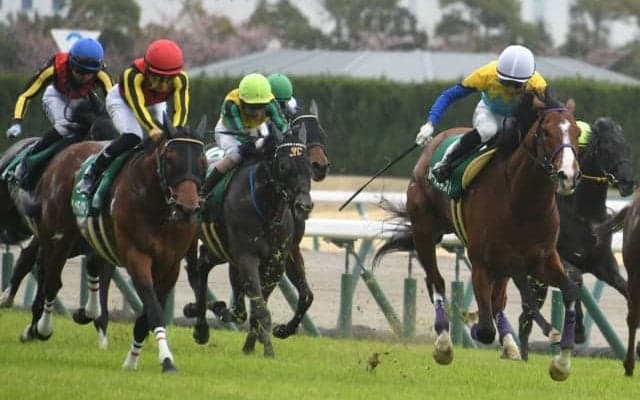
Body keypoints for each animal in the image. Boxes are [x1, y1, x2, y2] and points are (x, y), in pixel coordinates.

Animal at [19, 117, 206, 373]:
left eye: (203, 162)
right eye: (170, 160)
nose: (188, 209)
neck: (158, 208)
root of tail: (65, 154)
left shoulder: (170, 265)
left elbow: (145, 317)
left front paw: (132, 360)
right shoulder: (136, 257)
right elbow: (154, 311)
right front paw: (167, 359)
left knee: (89, 267)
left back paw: (88, 312)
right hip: (57, 236)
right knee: (51, 281)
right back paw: (42, 328)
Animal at [182, 102, 329, 339]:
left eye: (322, 133)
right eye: (284, 165)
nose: (319, 166)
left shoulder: (287, 251)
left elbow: (306, 295)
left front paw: (283, 329)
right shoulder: (242, 251)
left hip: (217, 247)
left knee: (204, 263)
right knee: (195, 270)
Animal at [374, 93, 581, 380]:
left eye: (577, 132)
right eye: (546, 132)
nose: (568, 176)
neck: (522, 202)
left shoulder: (542, 259)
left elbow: (570, 291)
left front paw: (561, 362)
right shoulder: (483, 261)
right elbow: (484, 329)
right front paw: (471, 324)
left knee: (496, 299)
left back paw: (510, 345)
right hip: (424, 231)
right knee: (436, 281)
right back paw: (444, 344)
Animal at [513, 116, 635, 360]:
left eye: (626, 146)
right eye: (606, 148)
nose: (628, 182)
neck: (583, 214)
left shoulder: (604, 264)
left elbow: (624, 287)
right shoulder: (561, 258)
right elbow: (576, 281)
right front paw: (578, 331)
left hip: (538, 282)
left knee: (525, 317)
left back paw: (524, 356)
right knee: (527, 306)